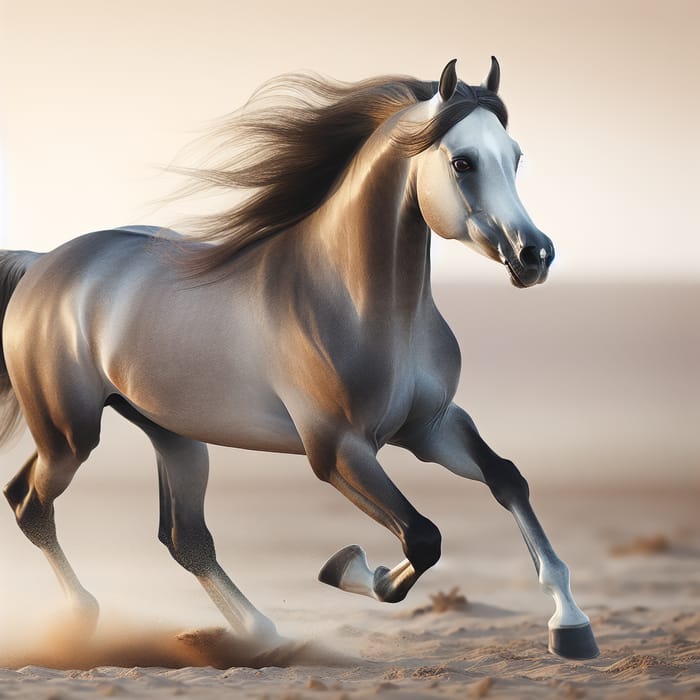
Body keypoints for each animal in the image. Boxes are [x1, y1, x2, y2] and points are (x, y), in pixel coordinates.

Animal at [1, 57, 596, 660]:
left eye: (515, 156)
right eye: (462, 161)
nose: (535, 255)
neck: (359, 304)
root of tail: (43, 262)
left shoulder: (431, 427)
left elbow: (507, 480)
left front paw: (570, 626)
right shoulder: (336, 451)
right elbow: (422, 537)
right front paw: (351, 568)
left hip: (174, 435)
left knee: (184, 537)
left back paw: (261, 633)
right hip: (71, 434)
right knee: (30, 502)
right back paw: (84, 619)